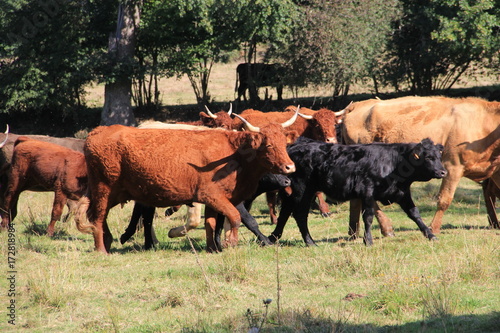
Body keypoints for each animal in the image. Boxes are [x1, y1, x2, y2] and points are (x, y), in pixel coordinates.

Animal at [122, 174, 292, 249]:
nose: (287, 181)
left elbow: (220, 224)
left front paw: (219, 243)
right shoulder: (236, 204)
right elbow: (250, 221)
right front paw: (266, 240)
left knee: (143, 212)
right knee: (145, 214)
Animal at [270, 136, 446, 245]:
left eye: (439, 156)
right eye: (428, 157)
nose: (443, 172)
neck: (393, 162)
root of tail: (295, 146)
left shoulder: (402, 193)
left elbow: (415, 213)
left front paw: (430, 235)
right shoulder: (367, 192)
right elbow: (368, 217)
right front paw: (368, 240)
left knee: (285, 212)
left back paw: (273, 238)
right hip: (302, 191)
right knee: (299, 214)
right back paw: (309, 242)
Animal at [342, 95, 500, 236]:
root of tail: (357, 105)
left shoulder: (496, 170)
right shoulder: (452, 166)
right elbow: (444, 200)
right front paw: (433, 228)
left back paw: (353, 232)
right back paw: (386, 229)